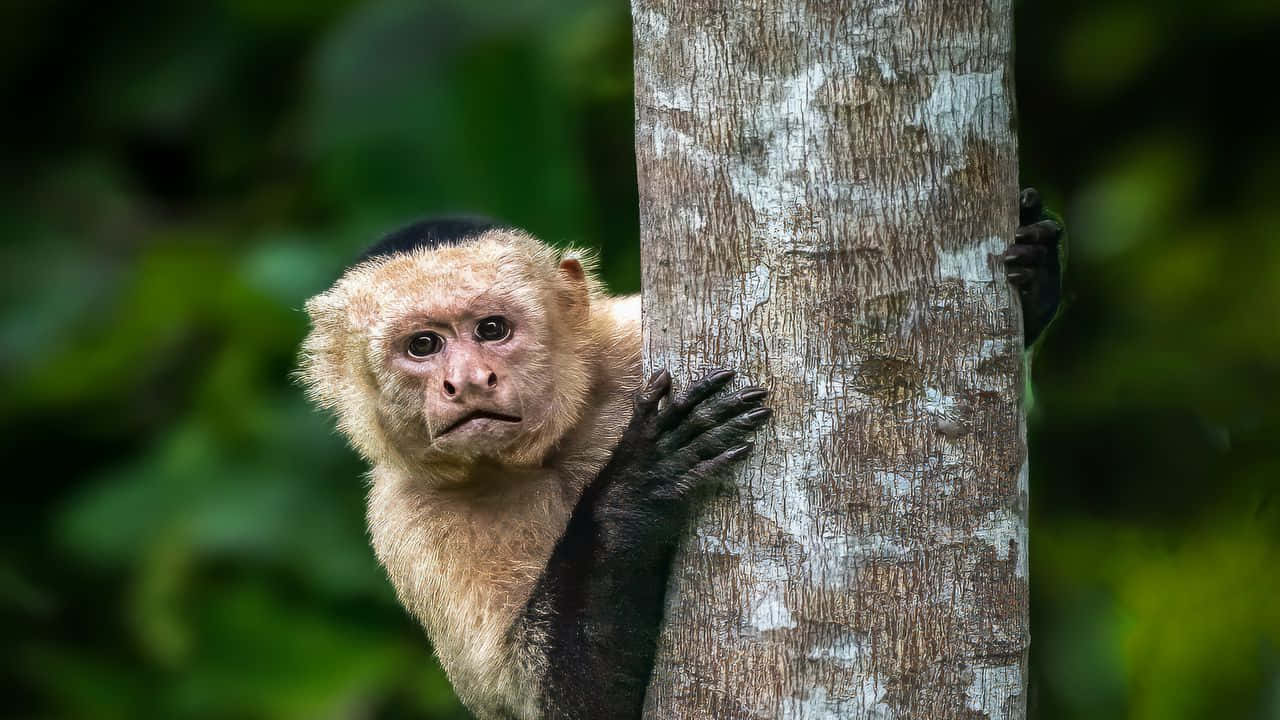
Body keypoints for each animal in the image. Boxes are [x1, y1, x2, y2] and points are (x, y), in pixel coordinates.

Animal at [296, 188, 1059, 712]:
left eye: (491, 329)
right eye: (423, 346)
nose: (467, 382)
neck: (552, 450)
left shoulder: (624, 340)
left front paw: (1036, 276)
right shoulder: (408, 519)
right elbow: (558, 706)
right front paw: (630, 494)